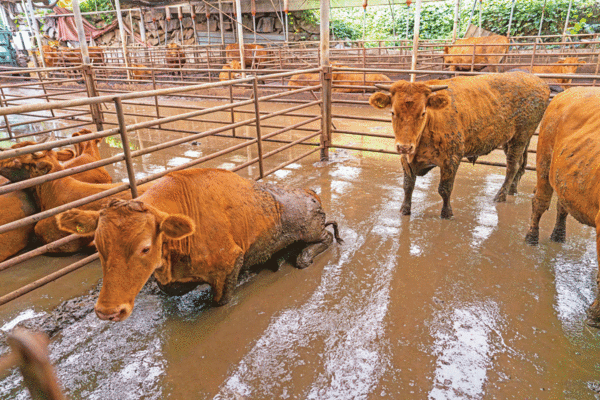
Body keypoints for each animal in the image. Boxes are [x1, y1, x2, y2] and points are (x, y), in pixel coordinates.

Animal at [56, 168, 342, 322]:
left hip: (309, 231)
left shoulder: (230, 263)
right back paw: (277, 259)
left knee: (326, 238)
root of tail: (310, 193)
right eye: (97, 245)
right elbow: (169, 287)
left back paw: (301, 257)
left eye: (145, 247)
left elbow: (219, 299)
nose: (108, 311)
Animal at [372, 71, 552, 219]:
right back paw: (512, 190)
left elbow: (444, 189)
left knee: (512, 167)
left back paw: (500, 195)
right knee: (520, 164)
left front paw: (447, 213)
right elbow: (408, 186)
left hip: (520, 137)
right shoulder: (406, 160)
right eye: (393, 112)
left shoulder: (451, 159)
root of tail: (538, 81)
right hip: (512, 139)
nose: (404, 147)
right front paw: (405, 209)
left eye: (422, 112)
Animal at [524, 86, 600, 324]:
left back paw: (558, 235)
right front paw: (595, 315)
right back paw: (531, 238)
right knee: (540, 201)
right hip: (544, 159)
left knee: (562, 206)